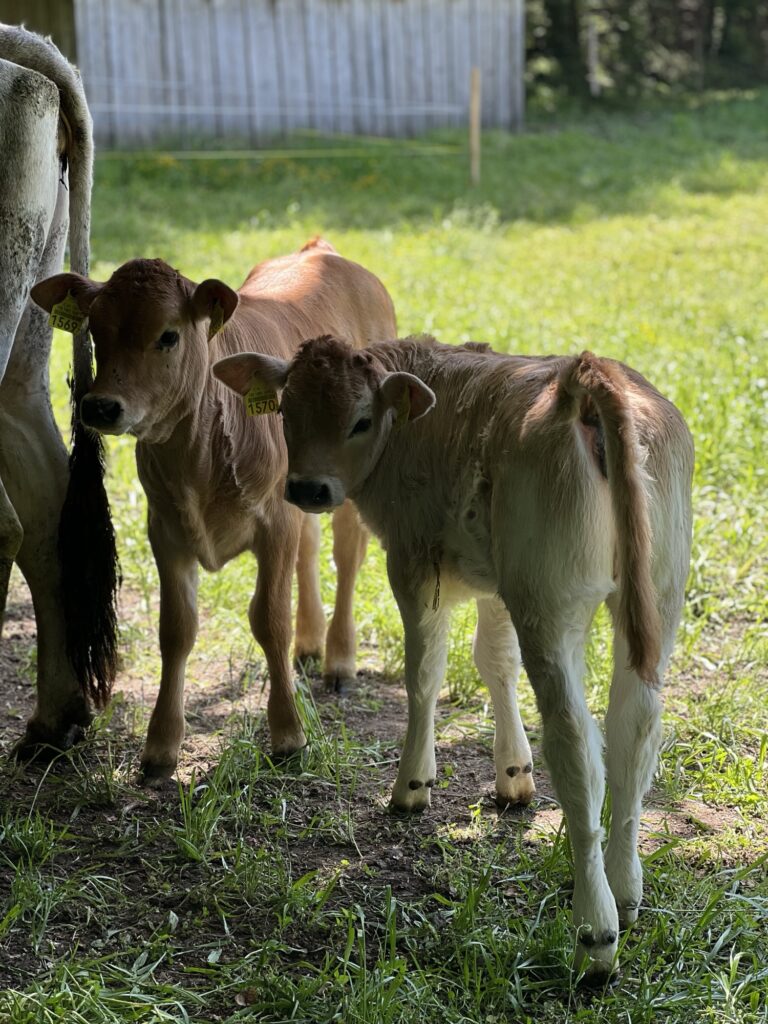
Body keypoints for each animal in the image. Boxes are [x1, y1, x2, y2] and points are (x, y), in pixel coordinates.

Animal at [31, 243, 397, 782]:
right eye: (95, 330)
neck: (197, 452)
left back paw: (339, 660)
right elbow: (176, 630)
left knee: (347, 557)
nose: (99, 407)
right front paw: (160, 747)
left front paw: (289, 735)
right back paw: (310, 645)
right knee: (310, 548)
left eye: (168, 334)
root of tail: (323, 251)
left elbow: (270, 619)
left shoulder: (273, 521)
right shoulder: (165, 528)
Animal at [212, 333, 694, 980]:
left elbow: (424, 673)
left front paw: (412, 785)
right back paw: (626, 890)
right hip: (654, 600)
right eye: (286, 412)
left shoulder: (415, 564)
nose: (308, 489)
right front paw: (513, 774)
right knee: (633, 731)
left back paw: (595, 932)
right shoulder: (499, 584)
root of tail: (585, 378)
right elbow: (494, 660)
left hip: (551, 604)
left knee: (576, 745)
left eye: (361, 419)